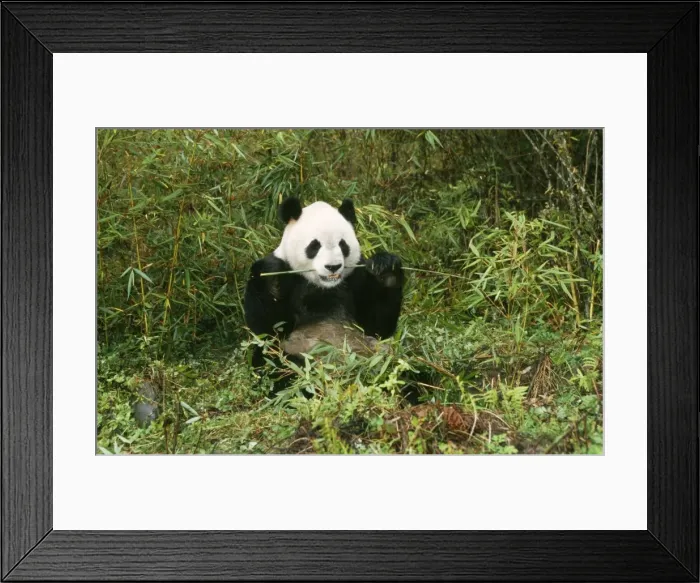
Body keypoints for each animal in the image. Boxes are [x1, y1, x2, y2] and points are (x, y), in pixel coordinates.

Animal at [244, 197, 404, 387]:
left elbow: (377, 326)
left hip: (377, 356)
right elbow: (266, 328)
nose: (333, 266)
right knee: (275, 366)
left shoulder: (356, 276)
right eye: (314, 246)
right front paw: (273, 278)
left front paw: (386, 269)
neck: (323, 285)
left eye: (343, 245)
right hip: (294, 354)